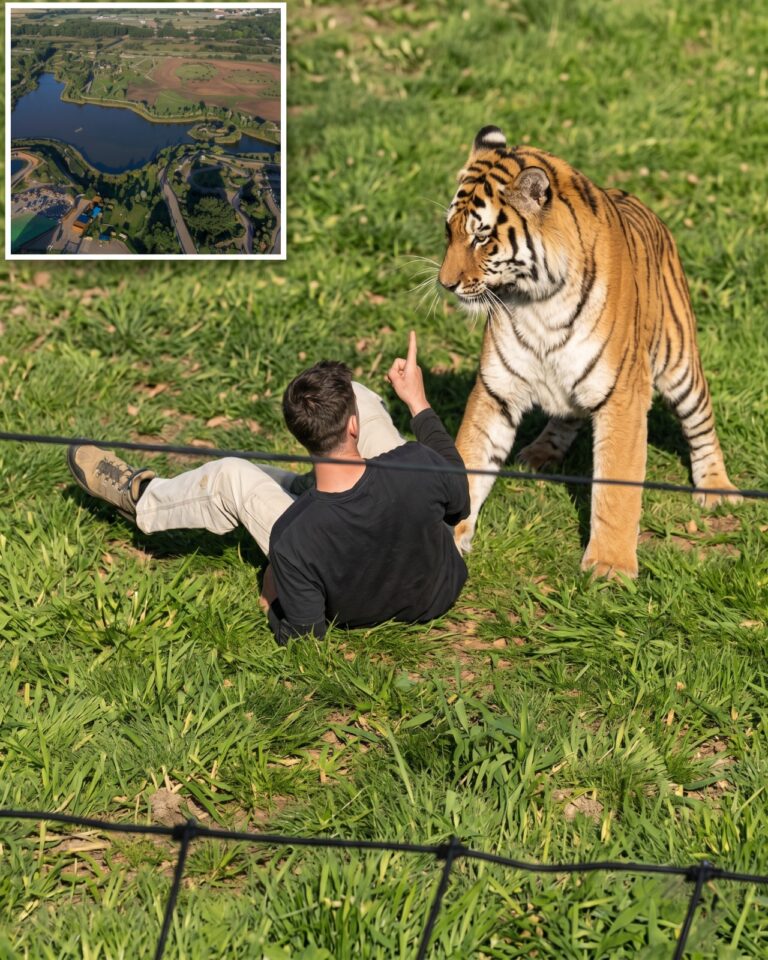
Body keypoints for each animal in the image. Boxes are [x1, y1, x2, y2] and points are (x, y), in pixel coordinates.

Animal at [439, 125, 740, 579]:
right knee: (567, 413)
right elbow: (471, 456)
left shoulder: (623, 394)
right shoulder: (496, 389)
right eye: (449, 233)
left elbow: (616, 484)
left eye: (482, 237)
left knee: (701, 422)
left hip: (679, 363)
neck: (536, 302)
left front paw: (610, 568)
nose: (446, 284)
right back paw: (539, 453)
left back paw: (717, 488)